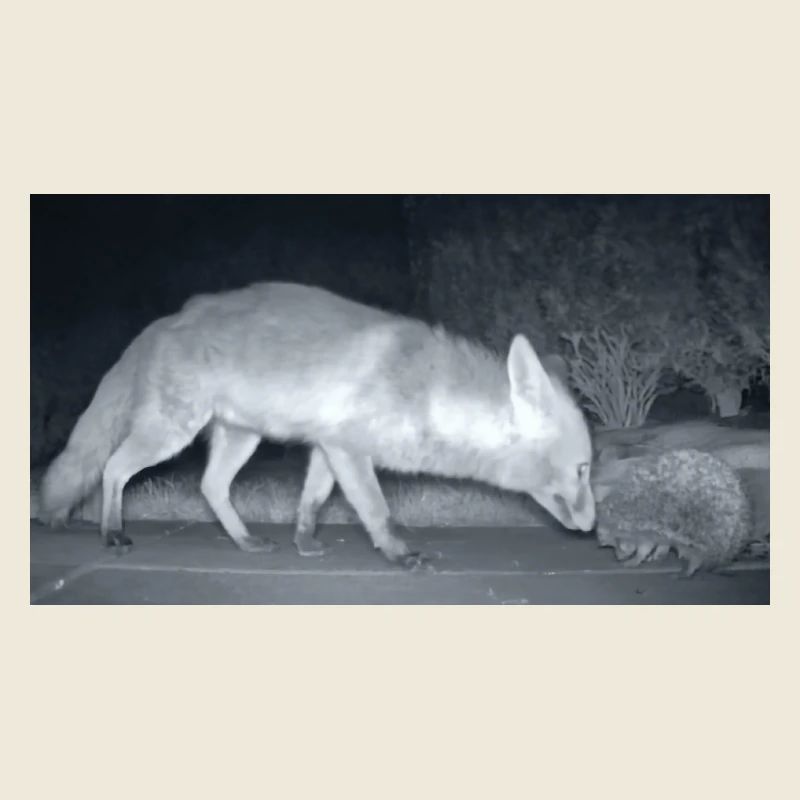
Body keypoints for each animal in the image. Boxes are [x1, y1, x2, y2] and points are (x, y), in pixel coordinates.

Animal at [39, 282, 596, 566]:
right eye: (583, 470)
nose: (593, 528)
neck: (426, 392)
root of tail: (163, 322)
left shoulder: (330, 447)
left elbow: (311, 503)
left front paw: (304, 544)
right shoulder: (350, 450)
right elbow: (377, 511)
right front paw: (400, 554)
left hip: (241, 438)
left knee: (210, 487)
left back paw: (245, 542)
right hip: (170, 433)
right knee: (112, 469)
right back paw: (111, 532)